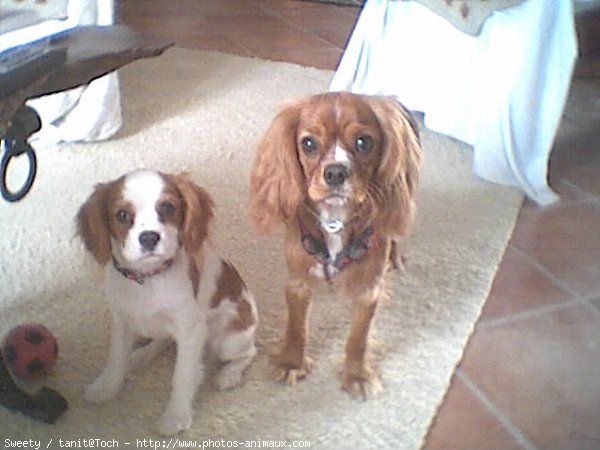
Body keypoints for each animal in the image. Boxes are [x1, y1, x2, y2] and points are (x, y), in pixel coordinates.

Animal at [76, 170, 256, 436]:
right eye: (122, 215)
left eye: (168, 207)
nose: (149, 237)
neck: (147, 279)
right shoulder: (122, 320)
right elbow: (116, 356)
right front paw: (106, 386)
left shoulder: (191, 328)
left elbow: (182, 376)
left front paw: (176, 416)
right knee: (162, 340)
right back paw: (140, 356)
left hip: (228, 340)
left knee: (249, 352)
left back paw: (228, 375)